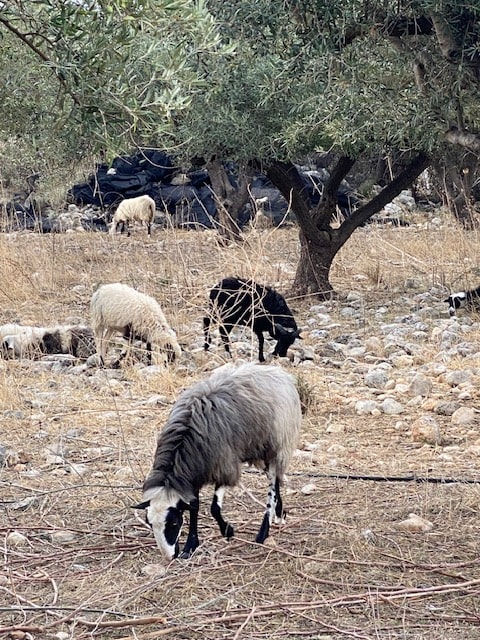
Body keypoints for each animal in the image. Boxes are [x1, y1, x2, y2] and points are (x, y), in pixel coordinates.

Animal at [133, 362, 302, 564]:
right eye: (150, 523)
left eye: (173, 522)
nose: (169, 557)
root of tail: (278, 371)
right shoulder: (194, 476)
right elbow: (194, 507)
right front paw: (190, 546)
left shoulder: (224, 466)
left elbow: (214, 508)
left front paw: (227, 531)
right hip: (259, 450)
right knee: (276, 480)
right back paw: (279, 513)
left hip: (278, 445)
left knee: (272, 484)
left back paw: (263, 531)